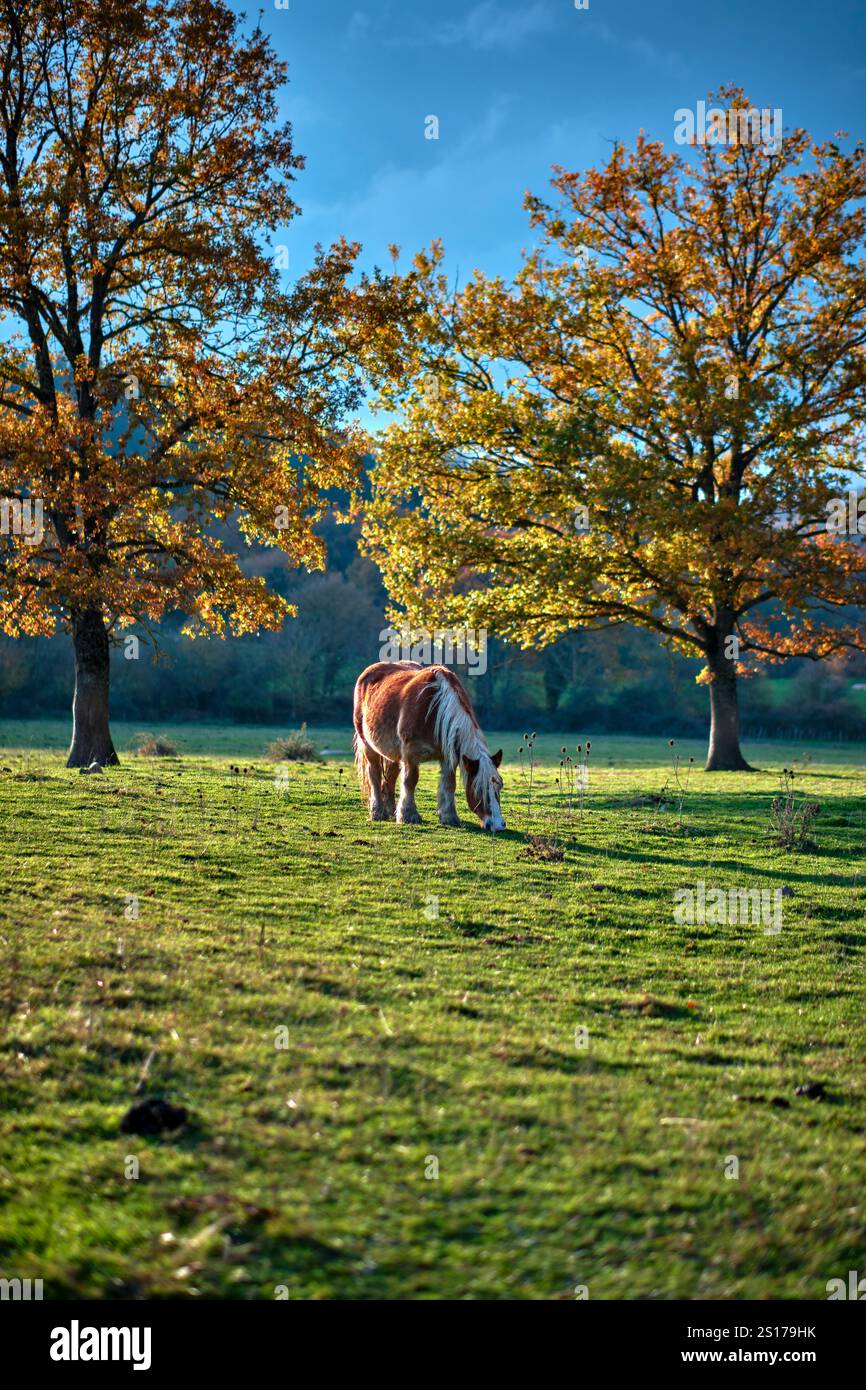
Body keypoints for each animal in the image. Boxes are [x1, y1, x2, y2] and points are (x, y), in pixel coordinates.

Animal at [353, 660, 505, 831]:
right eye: (479, 789)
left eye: (499, 786)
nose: (498, 825)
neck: (434, 710)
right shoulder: (410, 754)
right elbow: (410, 781)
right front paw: (408, 815)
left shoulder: (448, 757)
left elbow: (449, 784)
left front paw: (449, 817)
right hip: (368, 744)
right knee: (374, 774)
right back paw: (378, 812)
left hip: (392, 752)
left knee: (390, 777)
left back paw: (391, 811)